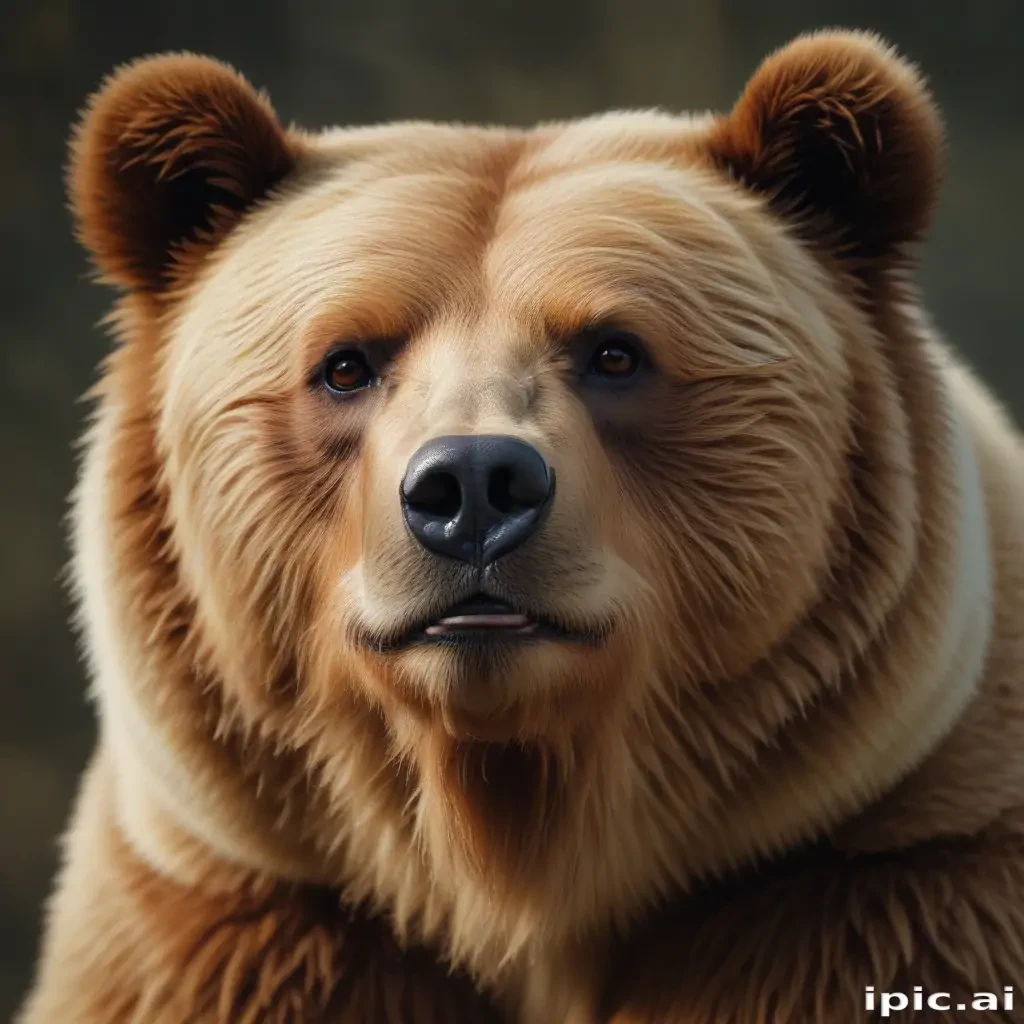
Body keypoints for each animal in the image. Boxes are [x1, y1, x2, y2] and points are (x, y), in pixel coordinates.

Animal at [20, 28, 1024, 1024]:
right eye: (345, 364)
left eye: (616, 351)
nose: (472, 485)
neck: (516, 853)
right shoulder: (244, 916)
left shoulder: (878, 883)